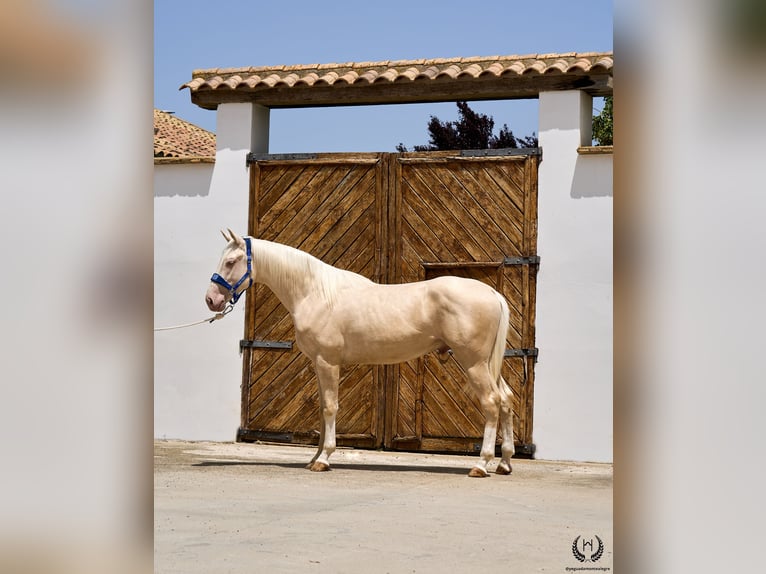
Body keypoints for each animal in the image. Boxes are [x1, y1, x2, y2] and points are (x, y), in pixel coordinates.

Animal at [205, 228, 515, 477]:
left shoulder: (328, 362)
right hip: (488, 364)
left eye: (231, 262)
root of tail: (491, 293)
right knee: (506, 399)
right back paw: (505, 463)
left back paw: (481, 464)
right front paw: (314, 458)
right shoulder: (319, 364)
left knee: (491, 402)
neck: (315, 293)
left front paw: (324, 459)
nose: (211, 300)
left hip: (473, 363)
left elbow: (330, 408)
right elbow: (322, 409)